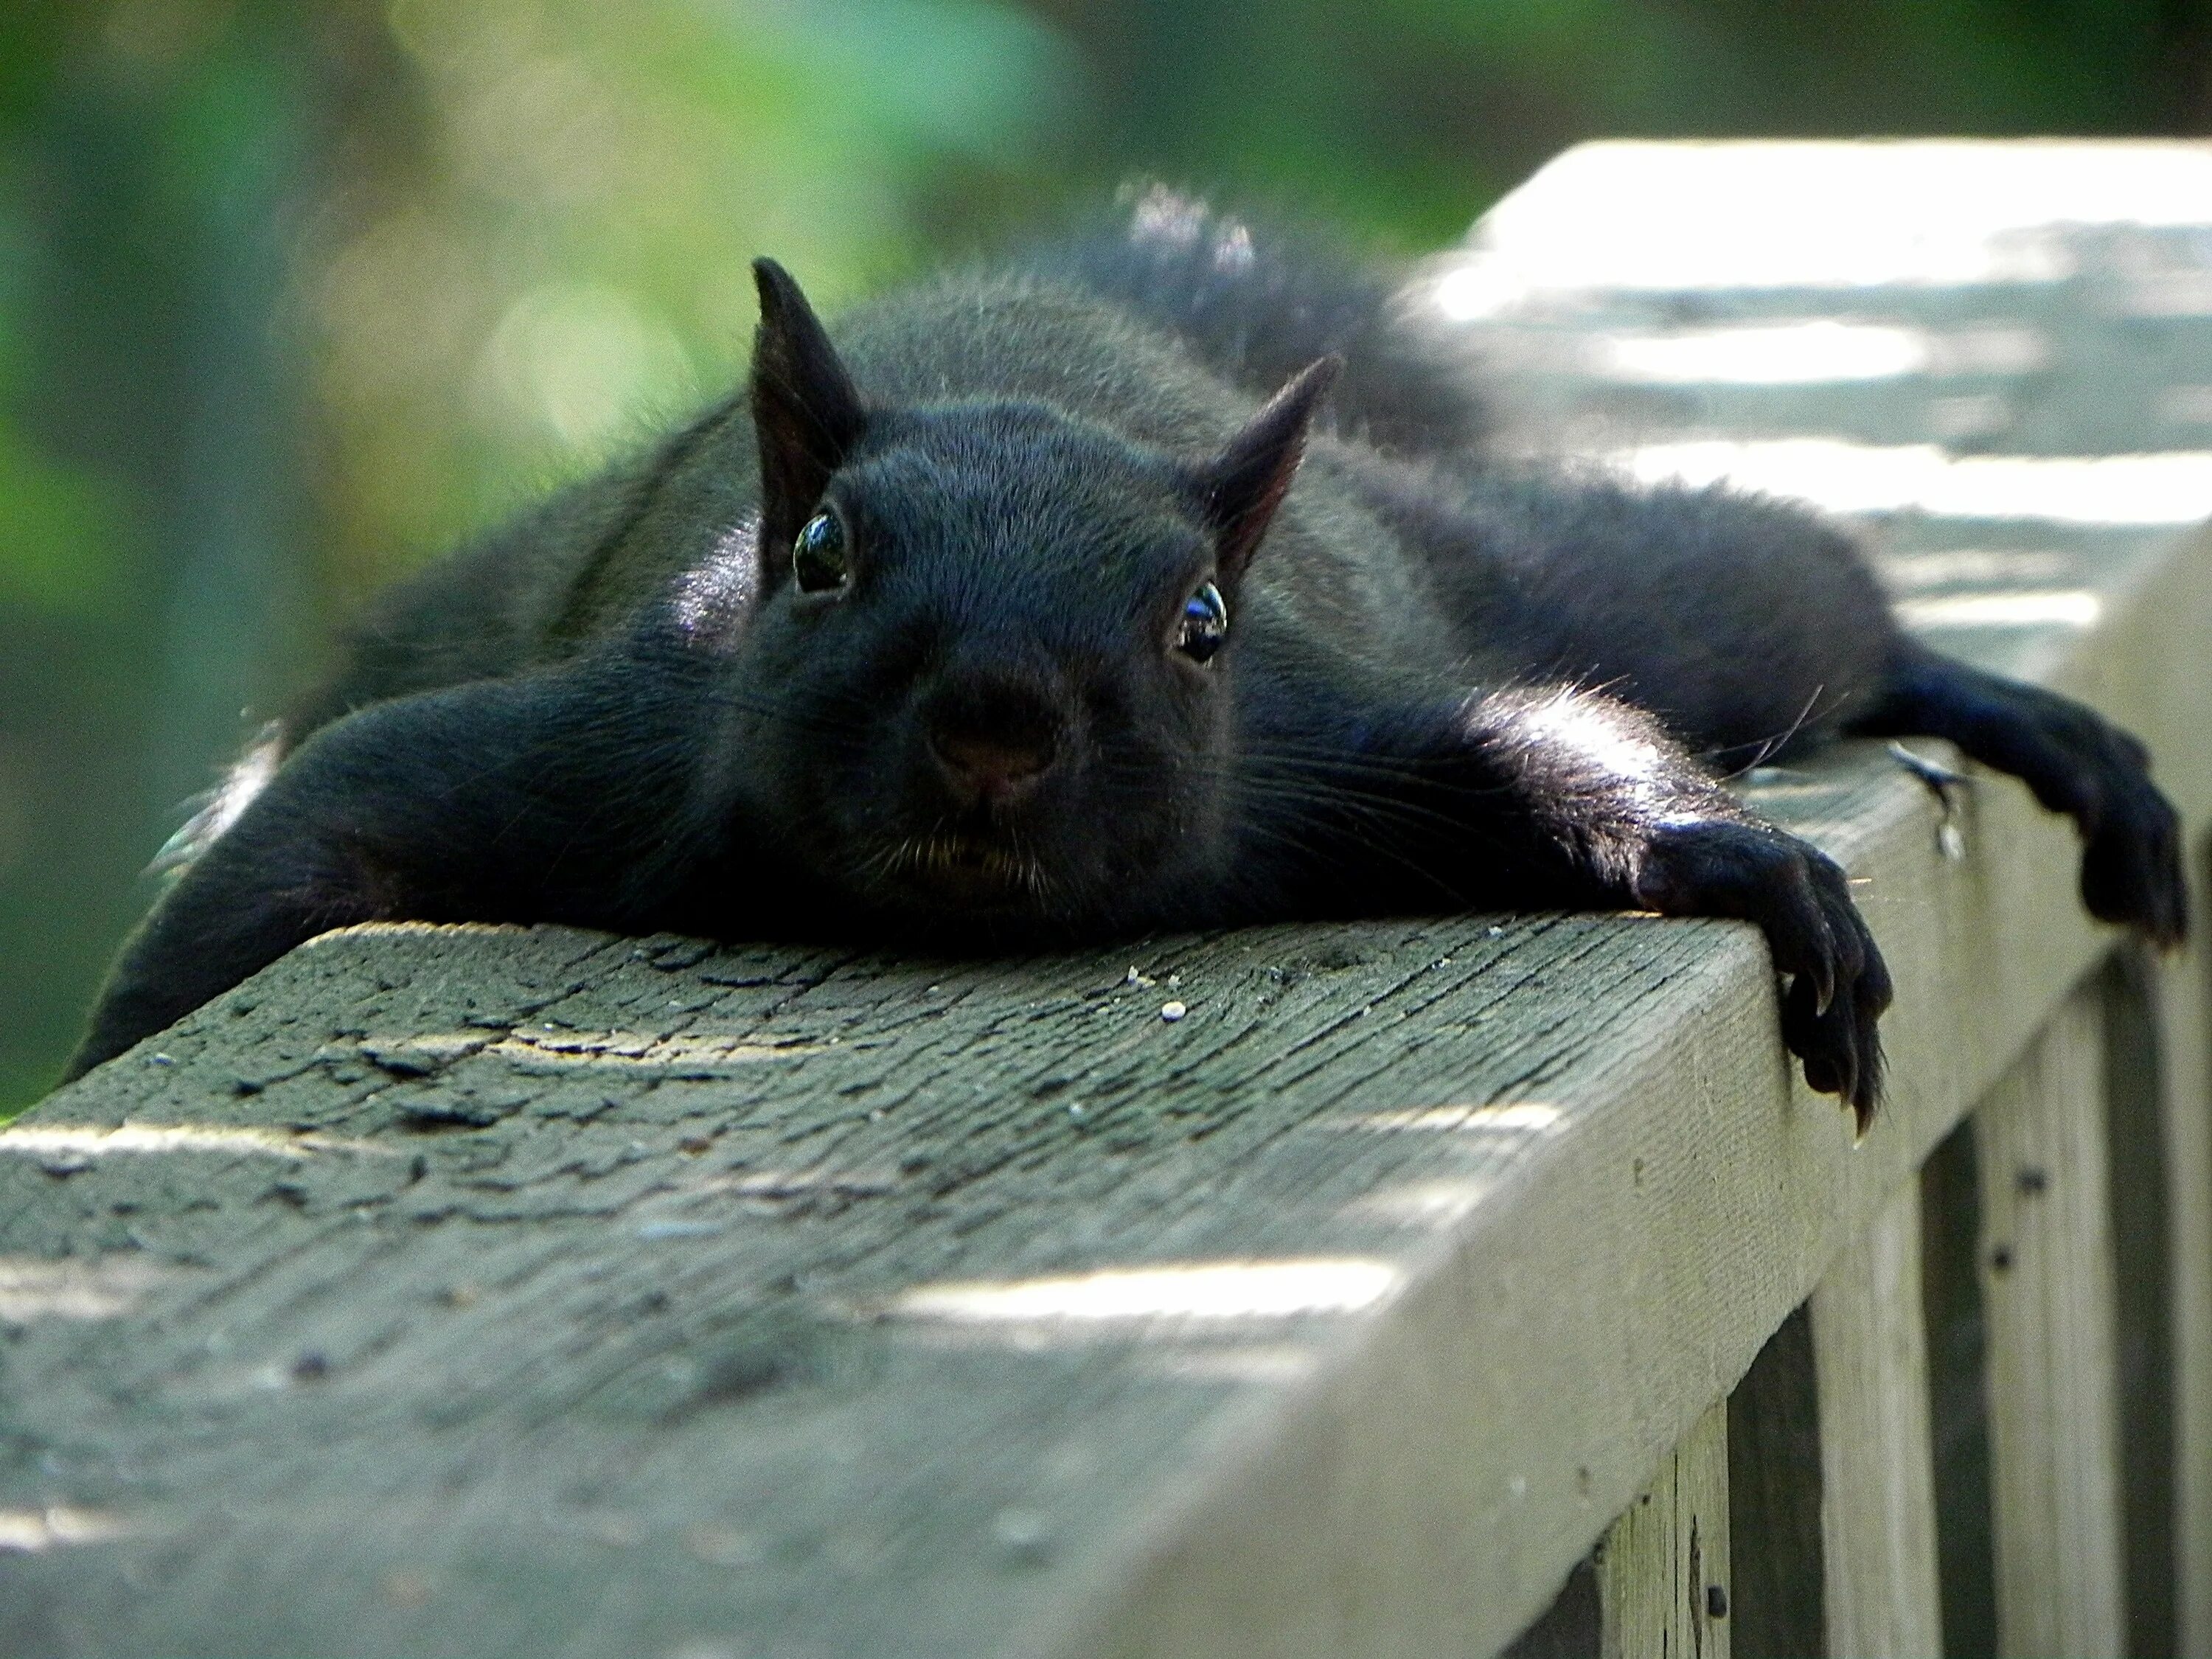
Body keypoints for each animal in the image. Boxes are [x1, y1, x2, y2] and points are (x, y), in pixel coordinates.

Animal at [64, 198, 2177, 1133]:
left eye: (1199, 625)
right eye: (816, 558)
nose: (995, 720)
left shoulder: (1327, 733)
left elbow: (1545, 744)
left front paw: (1742, 860)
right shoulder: (603, 738)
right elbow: (303, 832)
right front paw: (112, 1065)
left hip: (1517, 571)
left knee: (1775, 606)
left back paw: (2014, 717)